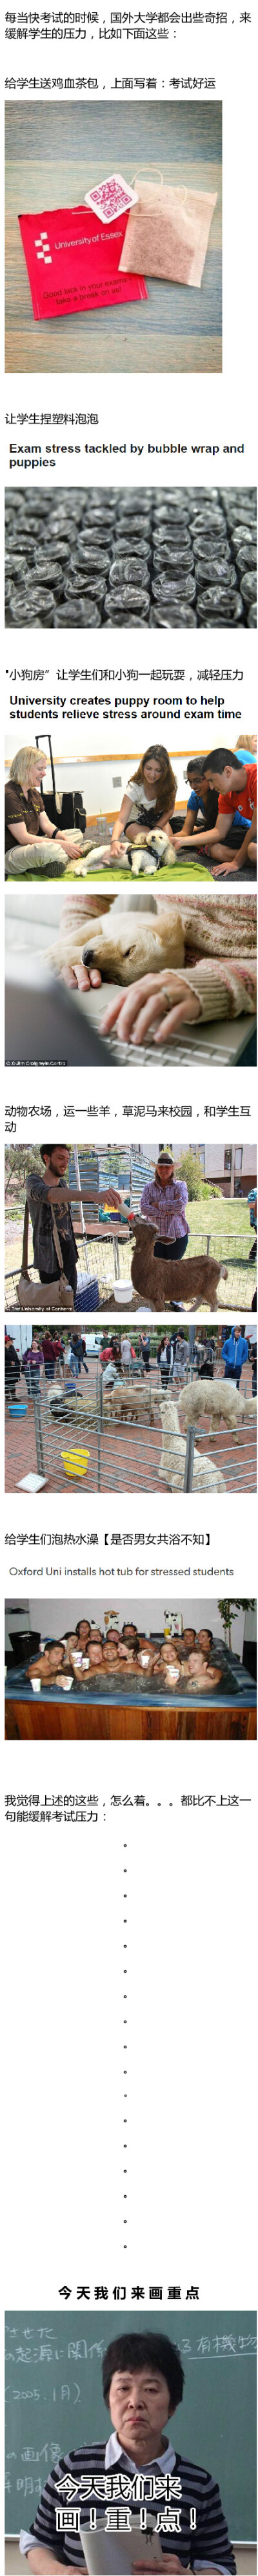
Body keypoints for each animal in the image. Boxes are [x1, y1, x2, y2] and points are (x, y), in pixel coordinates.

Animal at [130, 1221, 227, 1318]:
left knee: (215, 1302)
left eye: (151, 1226)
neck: (150, 1267)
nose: (134, 1218)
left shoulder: (158, 1295)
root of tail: (220, 1267)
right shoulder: (150, 1297)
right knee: (200, 1300)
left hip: (210, 1287)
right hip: (201, 1288)